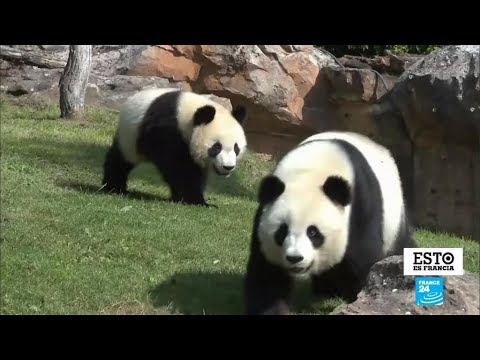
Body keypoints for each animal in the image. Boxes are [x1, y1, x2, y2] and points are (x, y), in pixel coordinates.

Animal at [101, 87, 248, 207]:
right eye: (216, 147)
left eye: (236, 148)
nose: (228, 167)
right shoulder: (167, 130)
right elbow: (178, 167)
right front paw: (195, 200)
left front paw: (185, 197)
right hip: (130, 137)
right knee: (120, 160)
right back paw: (115, 187)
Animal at [244, 131, 416, 314]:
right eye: (282, 232)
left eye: (313, 232)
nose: (295, 258)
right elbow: (268, 275)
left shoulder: (360, 207)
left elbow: (362, 261)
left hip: (394, 222)